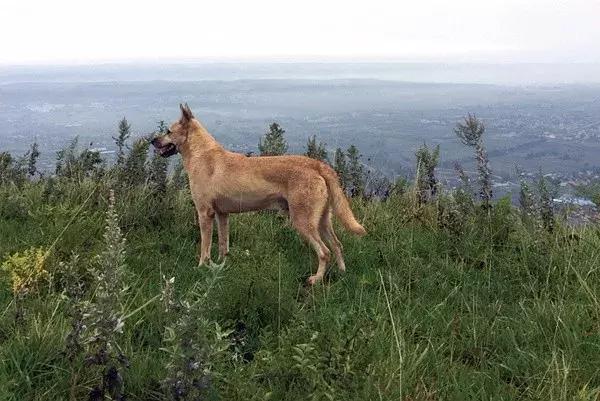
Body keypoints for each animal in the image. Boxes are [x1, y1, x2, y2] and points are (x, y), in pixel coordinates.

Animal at [150, 103, 366, 284]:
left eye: (168, 131)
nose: (152, 140)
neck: (201, 154)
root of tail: (318, 165)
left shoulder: (205, 214)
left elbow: (205, 246)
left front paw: (202, 266)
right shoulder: (222, 215)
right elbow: (223, 244)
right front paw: (220, 265)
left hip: (303, 221)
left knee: (324, 252)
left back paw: (316, 279)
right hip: (321, 221)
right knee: (337, 245)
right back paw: (342, 273)